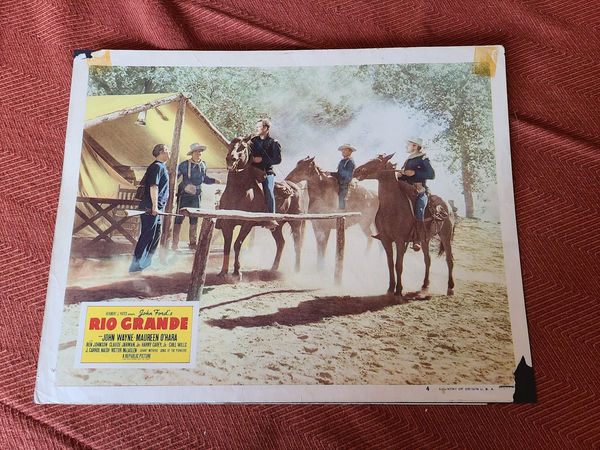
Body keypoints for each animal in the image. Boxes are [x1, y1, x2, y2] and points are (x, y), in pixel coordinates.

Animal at [217, 135, 308, 276]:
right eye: (230, 146)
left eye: (243, 147)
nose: (230, 159)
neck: (238, 191)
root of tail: (296, 187)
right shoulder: (227, 223)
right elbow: (227, 246)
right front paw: (223, 271)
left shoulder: (247, 224)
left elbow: (237, 244)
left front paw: (237, 271)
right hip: (277, 226)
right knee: (281, 242)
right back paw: (274, 268)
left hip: (296, 223)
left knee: (297, 244)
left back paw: (296, 270)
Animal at [352, 153, 454, 298]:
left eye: (376, 162)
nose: (357, 170)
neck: (392, 206)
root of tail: (447, 206)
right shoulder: (386, 240)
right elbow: (390, 264)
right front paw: (390, 289)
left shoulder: (400, 241)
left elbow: (398, 265)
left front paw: (399, 290)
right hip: (425, 239)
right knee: (427, 260)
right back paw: (424, 287)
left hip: (446, 235)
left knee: (449, 260)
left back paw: (450, 288)